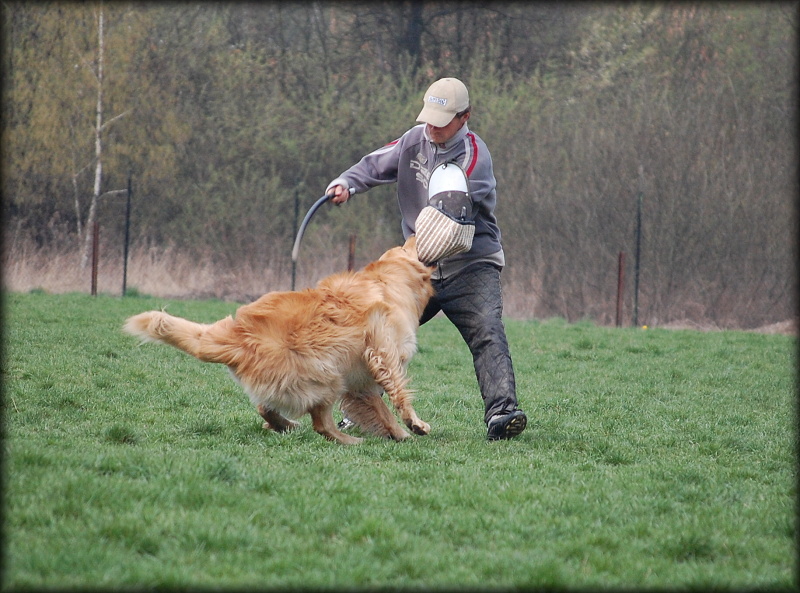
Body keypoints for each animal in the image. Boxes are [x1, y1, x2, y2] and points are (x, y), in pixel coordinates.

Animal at [122, 236, 434, 444]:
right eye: (406, 246)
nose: (413, 234)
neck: (389, 280)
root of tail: (238, 336)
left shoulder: (361, 380)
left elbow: (380, 410)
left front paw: (399, 434)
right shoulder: (382, 354)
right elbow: (397, 394)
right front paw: (413, 425)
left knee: (265, 407)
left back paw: (286, 425)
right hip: (328, 375)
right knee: (321, 425)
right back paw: (349, 441)